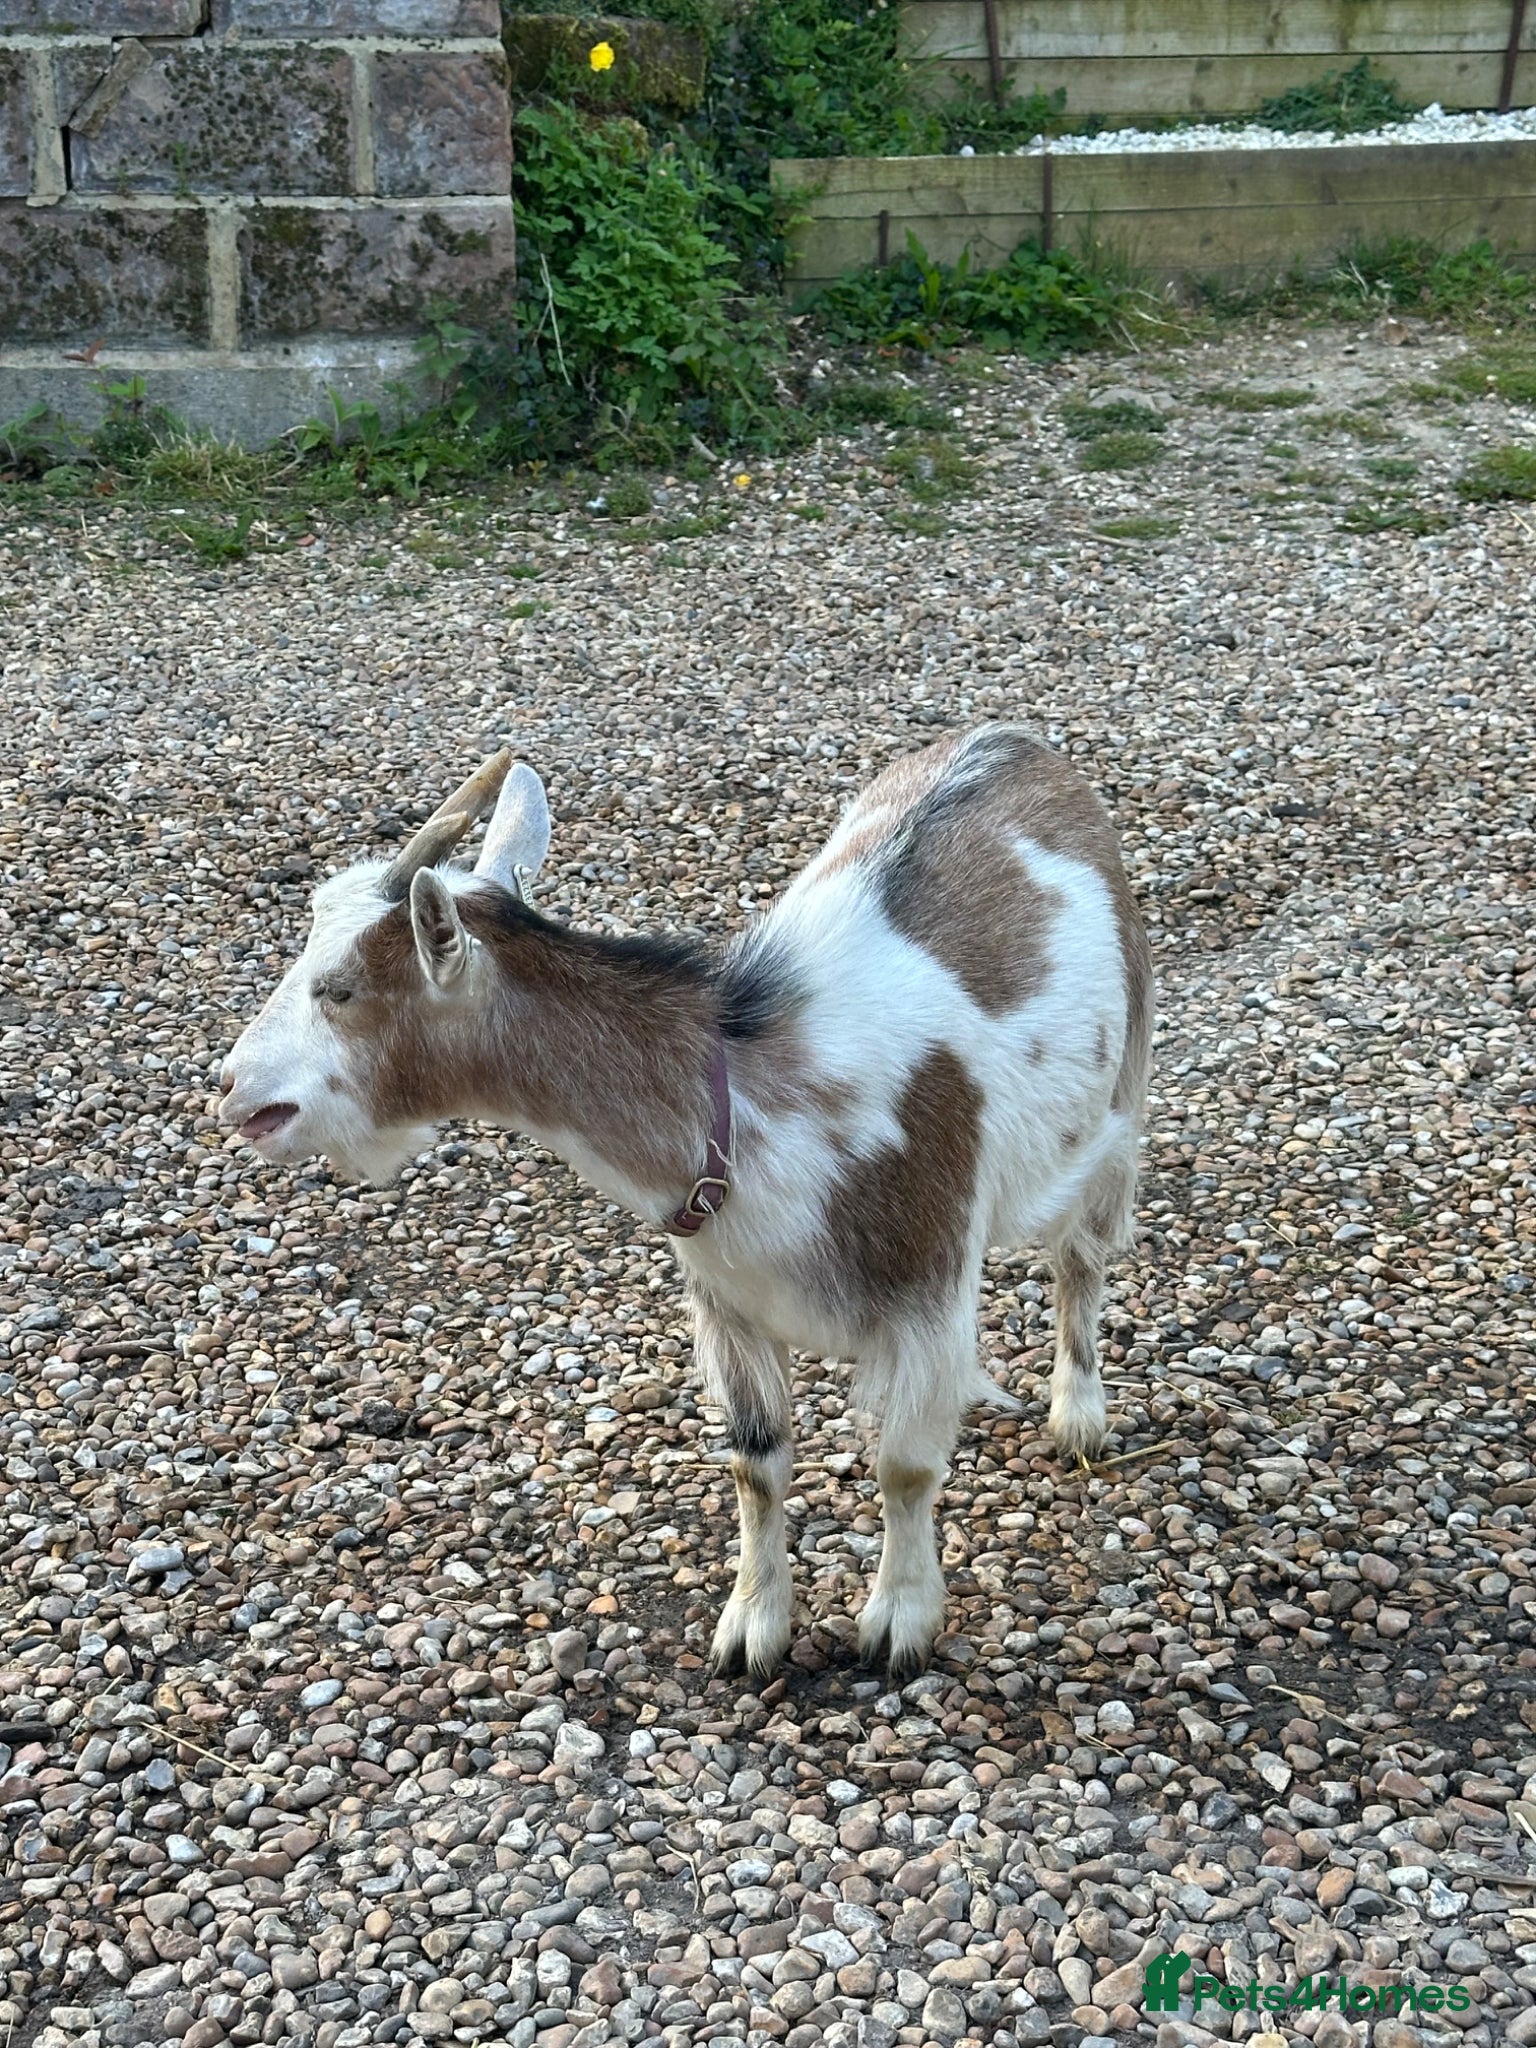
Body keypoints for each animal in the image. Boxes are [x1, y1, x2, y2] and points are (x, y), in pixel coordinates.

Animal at [219, 727, 1152, 1678]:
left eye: (339, 989)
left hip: (1120, 1098)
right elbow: (756, 1465)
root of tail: (1013, 742)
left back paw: (1079, 1415)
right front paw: (753, 1626)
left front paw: (899, 1622)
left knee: (1083, 1256)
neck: (746, 1095)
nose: (233, 1087)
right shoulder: (725, 1303)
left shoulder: (929, 1292)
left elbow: (906, 1467)